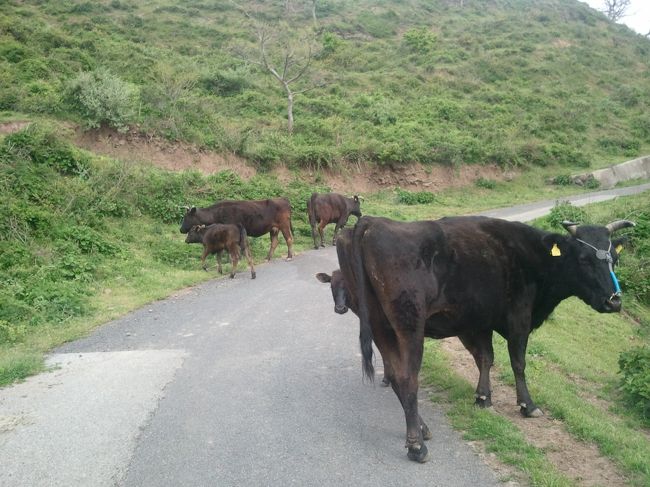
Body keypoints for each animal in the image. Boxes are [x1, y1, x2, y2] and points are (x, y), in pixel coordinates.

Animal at [320, 218, 632, 466]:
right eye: (584, 258)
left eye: (613, 259)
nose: (614, 301)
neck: (532, 258)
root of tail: (371, 223)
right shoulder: (519, 317)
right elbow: (518, 363)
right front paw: (528, 405)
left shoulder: (476, 322)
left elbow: (485, 357)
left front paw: (483, 397)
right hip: (409, 327)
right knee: (408, 378)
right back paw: (416, 445)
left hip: (380, 326)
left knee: (396, 375)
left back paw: (422, 429)